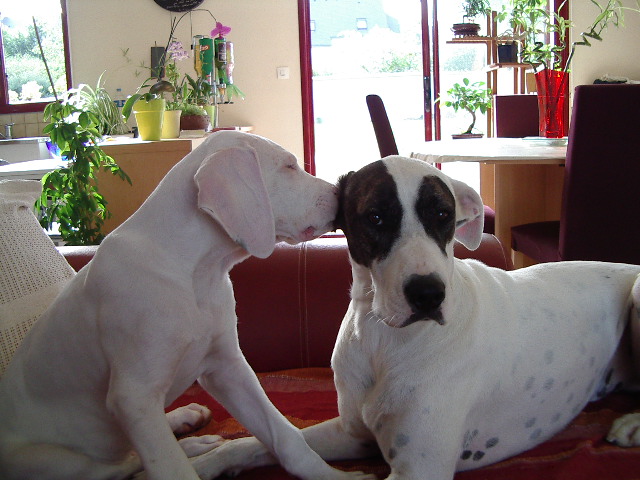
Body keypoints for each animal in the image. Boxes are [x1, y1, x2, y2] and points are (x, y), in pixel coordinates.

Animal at [0, 131, 376, 480]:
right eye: (288, 166)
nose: (341, 192)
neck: (194, 273)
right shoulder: (134, 397)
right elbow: (170, 468)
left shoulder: (227, 368)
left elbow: (286, 437)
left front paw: (332, 476)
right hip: (54, 460)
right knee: (122, 465)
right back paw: (190, 443)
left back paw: (186, 424)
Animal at [189, 156, 640, 478]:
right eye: (374, 216)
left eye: (443, 215)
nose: (428, 294)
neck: (379, 335)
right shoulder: (353, 434)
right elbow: (271, 441)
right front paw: (201, 460)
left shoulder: (418, 469)